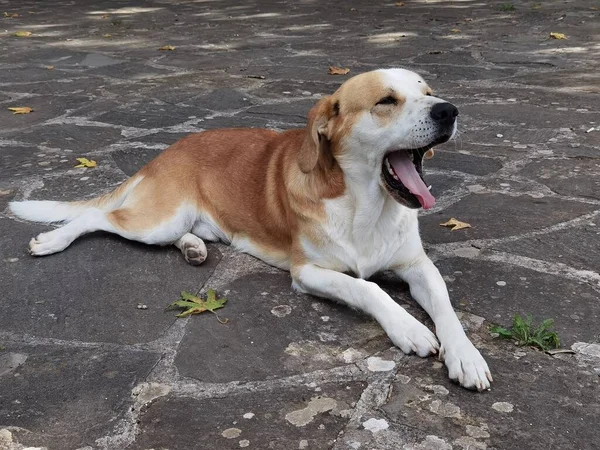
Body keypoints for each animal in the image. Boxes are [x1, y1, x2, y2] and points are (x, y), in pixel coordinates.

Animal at [9, 67, 492, 390]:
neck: (366, 205)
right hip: (157, 220)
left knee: (175, 234)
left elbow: (446, 307)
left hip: (180, 224)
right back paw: (53, 239)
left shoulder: (417, 265)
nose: (449, 110)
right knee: (98, 217)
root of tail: (164, 153)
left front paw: (466, 355)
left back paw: (193, 249)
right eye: (386, 101)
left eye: (428, 92)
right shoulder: (307, 272)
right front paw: (409, 329)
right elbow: (368, 288)